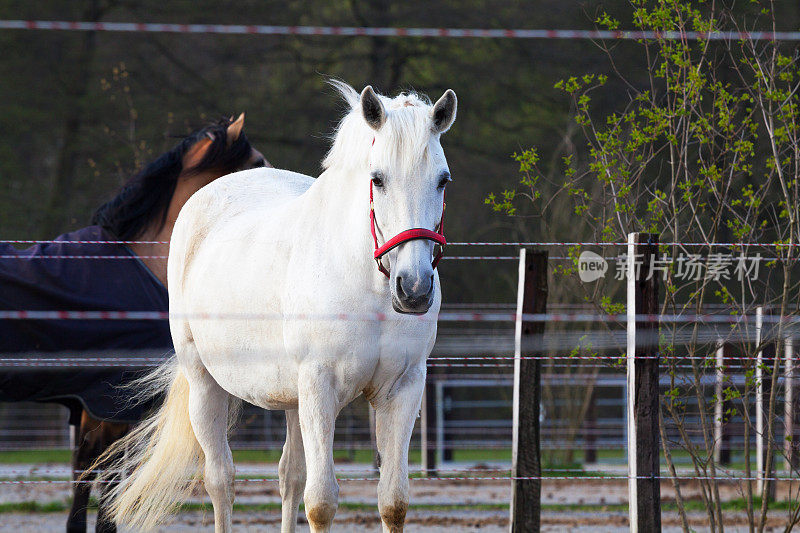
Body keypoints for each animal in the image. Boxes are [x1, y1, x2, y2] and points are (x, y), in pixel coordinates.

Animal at [100, 81, 460, 528]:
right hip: (205, 383)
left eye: (442, 180)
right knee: (220, 479)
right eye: (377, 179)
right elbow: (321, 503)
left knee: (290, 476)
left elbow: (393, 502)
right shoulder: (320, 386)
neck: (367, 287)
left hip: (293, 399)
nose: (414, 288)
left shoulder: (402, 389)